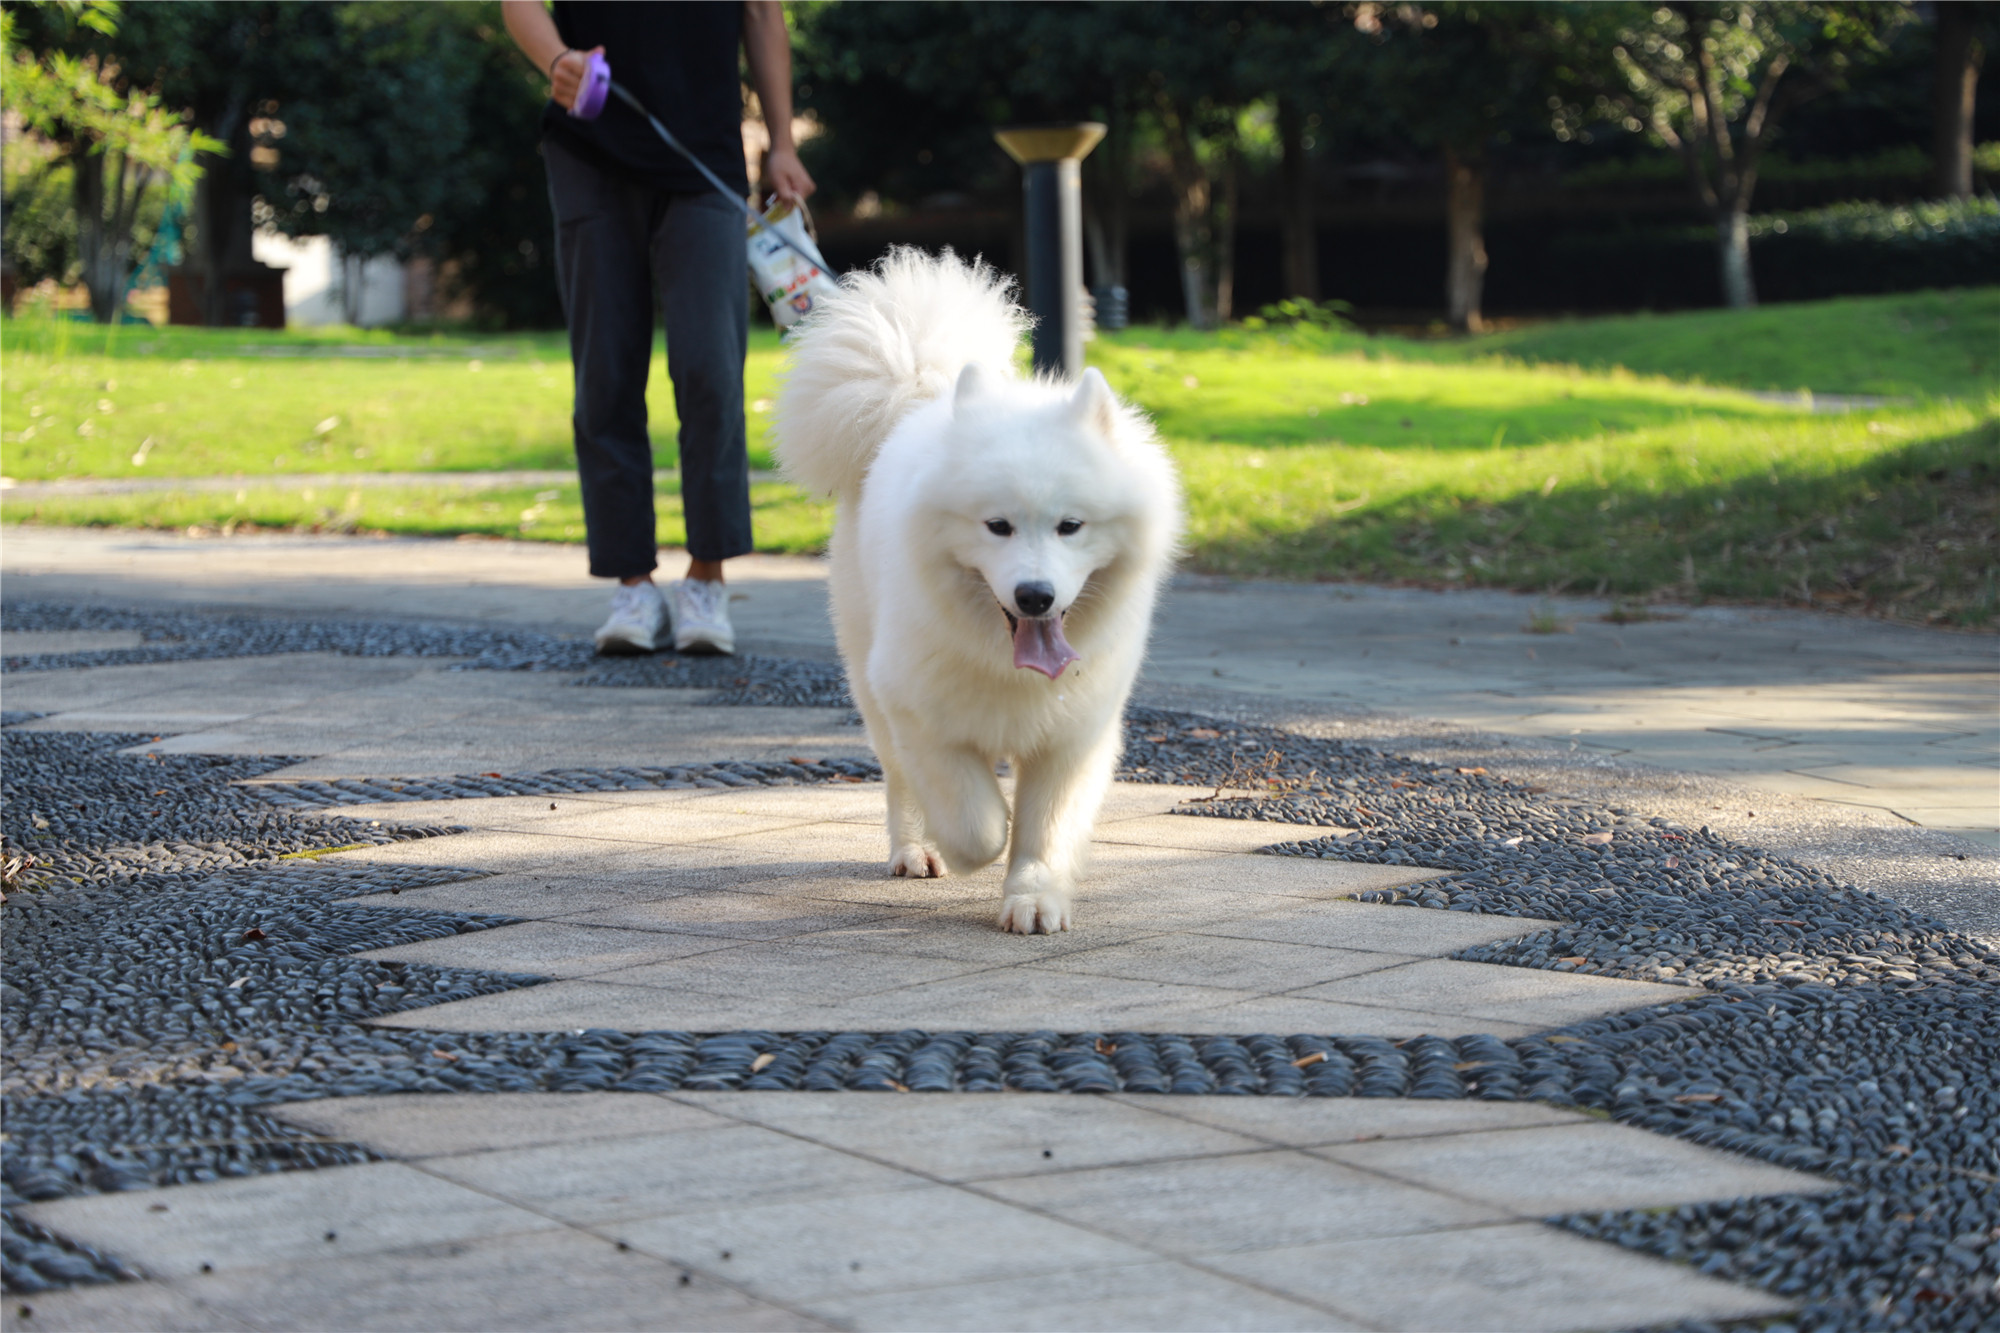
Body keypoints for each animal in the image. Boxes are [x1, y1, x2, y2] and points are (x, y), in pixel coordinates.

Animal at [772, 252, 1176, 932]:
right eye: (997, 526)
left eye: (1070, 526)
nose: (1036, 595)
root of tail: (920, 395)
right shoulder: (918, 710)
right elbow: (974, 820)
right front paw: (973, 848)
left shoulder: (1075, 735)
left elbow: (1045, 829)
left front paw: (1035, 897)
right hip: (870, 684)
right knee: (899, 781)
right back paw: (916, 851)